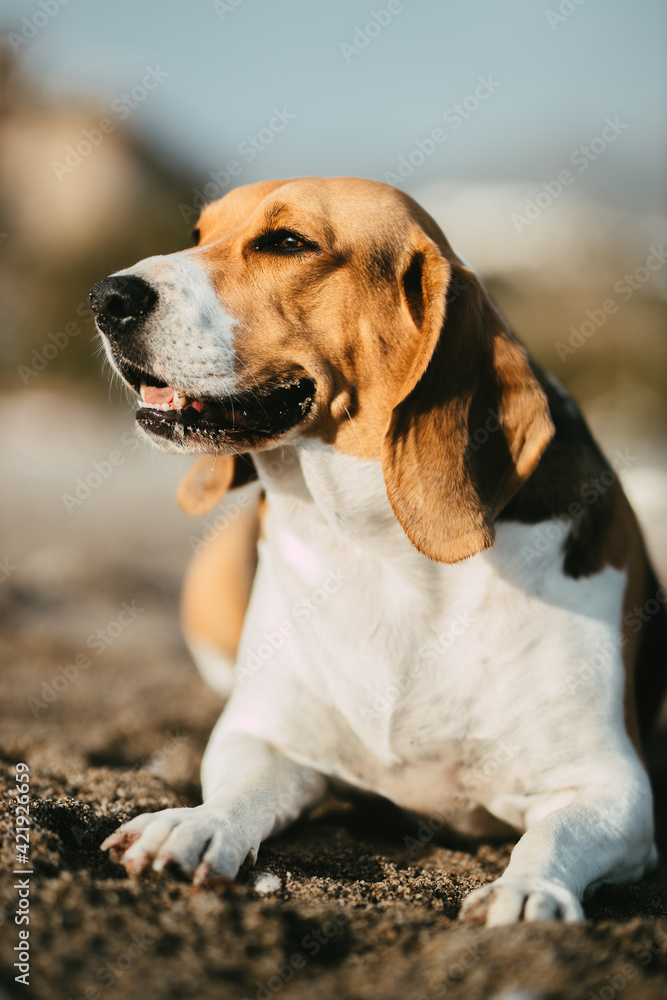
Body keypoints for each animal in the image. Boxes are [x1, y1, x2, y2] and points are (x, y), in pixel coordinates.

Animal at [91, 176, 664, 924]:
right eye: (197, 235)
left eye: (287, 242)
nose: (106, 297)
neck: (384, 553)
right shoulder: (264, 734)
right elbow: (240, 788)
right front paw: (195, 824)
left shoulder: (611, 787)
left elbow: (557, 834)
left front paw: (526, 893)